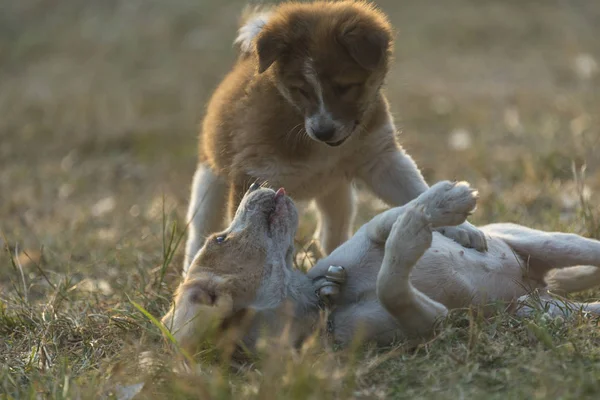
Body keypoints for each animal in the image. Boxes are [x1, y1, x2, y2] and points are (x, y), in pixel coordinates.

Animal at [180, 0, 486, 274]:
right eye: (301, 90)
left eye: (346, 87)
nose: (323, 131)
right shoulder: (254, 175)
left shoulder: (381, 160)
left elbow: (417, 191)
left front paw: (462, 228)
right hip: (210, 183)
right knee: (199, 230)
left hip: (337, 193)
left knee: (331, 235)